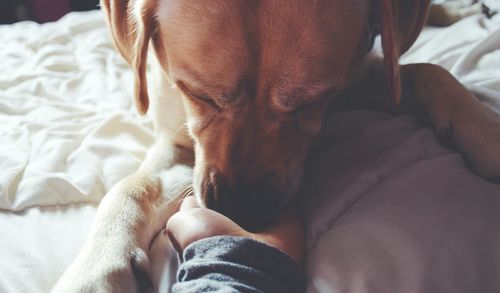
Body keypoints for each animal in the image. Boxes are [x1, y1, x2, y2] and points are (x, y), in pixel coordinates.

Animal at [52, 1, 498, 290]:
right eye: (198, 94)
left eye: (310, 102)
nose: (242, 212)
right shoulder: (180, 143)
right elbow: (131, 186)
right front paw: (96, 267)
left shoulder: (353, 82)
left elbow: (428, 71)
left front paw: (485, 131)